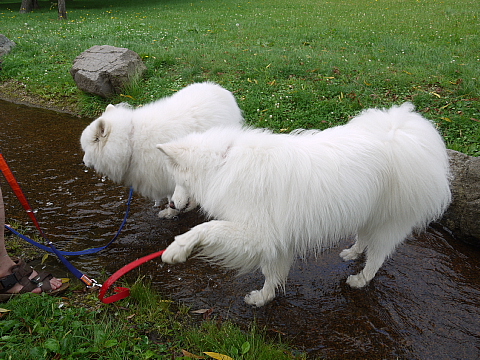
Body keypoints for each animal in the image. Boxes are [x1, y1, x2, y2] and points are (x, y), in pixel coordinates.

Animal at [158, 103, 450, 306]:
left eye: (177, 180)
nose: (172, 204)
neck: (223, 163)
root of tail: (399, 136)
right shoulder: (274, 240)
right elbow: (271, 273)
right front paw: (265, 297)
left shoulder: (258, 233)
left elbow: (207, 229)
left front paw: (177, 248)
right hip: (366, 211)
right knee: (363, 239)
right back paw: (352, 252)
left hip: (388, 223)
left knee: (377, 256)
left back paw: (360, 279)